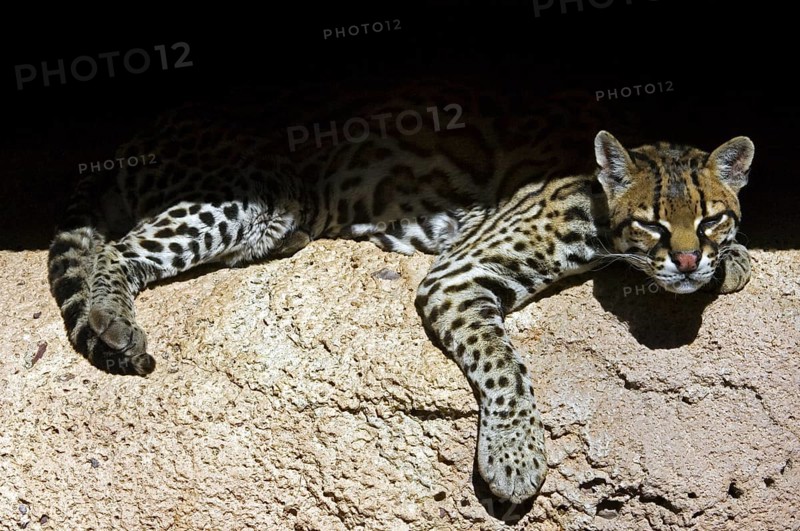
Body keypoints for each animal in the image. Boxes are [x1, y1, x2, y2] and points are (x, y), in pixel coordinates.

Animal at [47, 83, 754, 504]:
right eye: (652, 222)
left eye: (711, 219)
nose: (688, 260)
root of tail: (139, 132)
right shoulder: (460, 269)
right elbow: (505, 366)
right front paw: (515, 458)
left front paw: (735, 260)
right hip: (239, 197)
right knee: (118, 251)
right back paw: (110, 319)